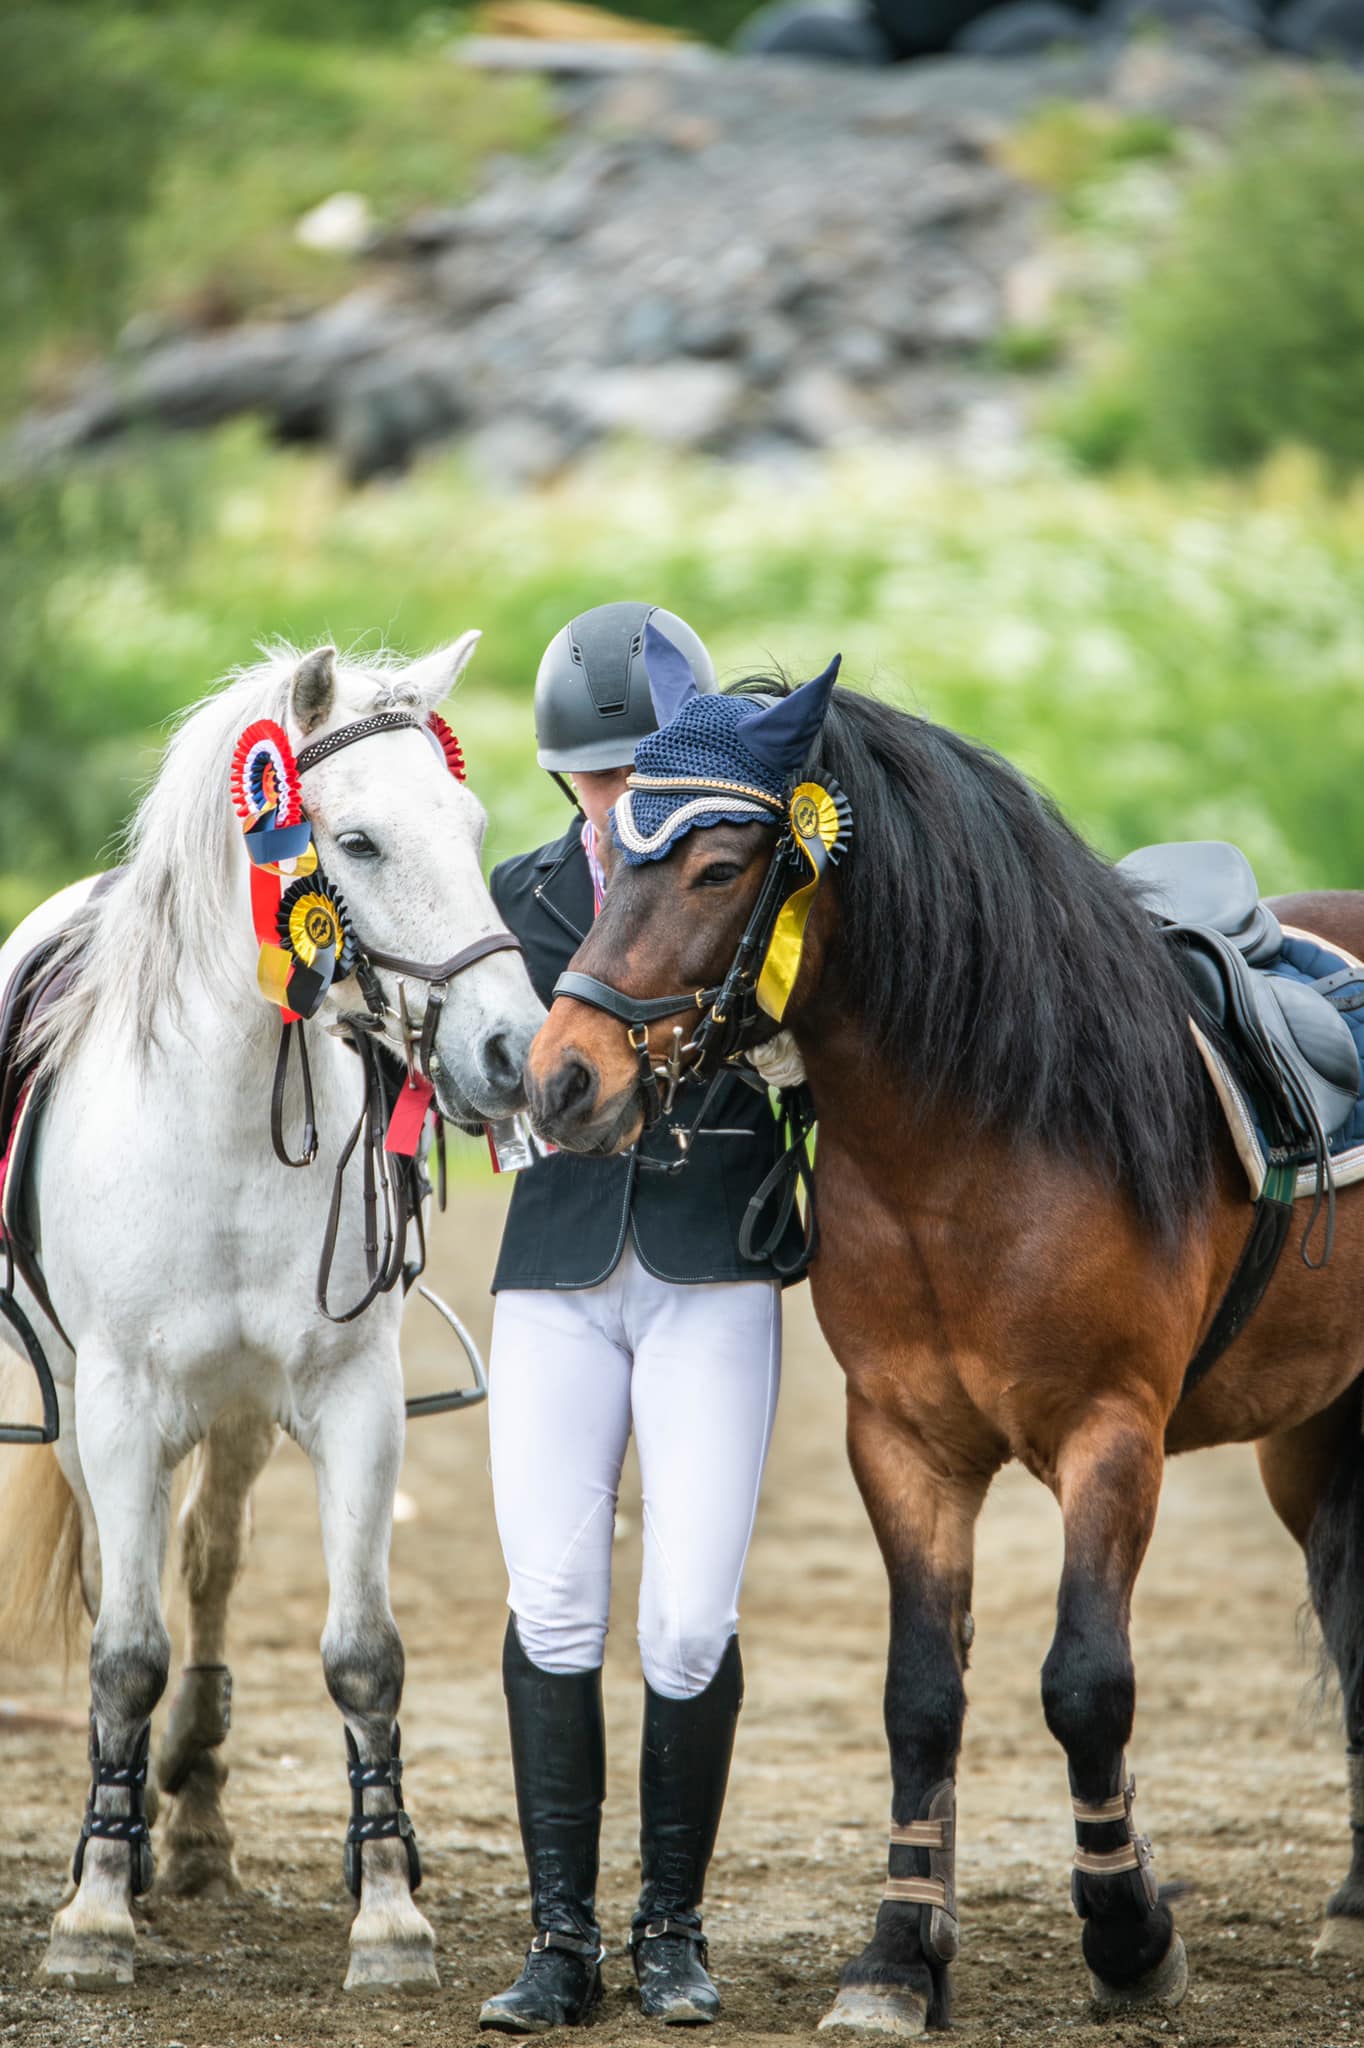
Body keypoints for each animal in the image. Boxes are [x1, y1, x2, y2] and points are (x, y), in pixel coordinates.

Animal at [0, 638, 544, 1994]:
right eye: (354, 841)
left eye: (467, 824)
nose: (512, 1050)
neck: (232, 1109)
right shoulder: (119, 1405)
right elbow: (123, 1650)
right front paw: (97, 1905)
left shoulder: (352, 1399)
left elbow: (363, 1652)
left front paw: (390, 1906)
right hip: (85, 1417)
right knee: (127, 1581)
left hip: (241, 1412)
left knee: (209, 1562)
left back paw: (194, 1816)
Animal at [522, 650, 1364, 2035]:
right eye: (615, 843)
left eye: (715, 866)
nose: (559, 1079)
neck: (980, 1133)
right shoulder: (903, 1443)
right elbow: (919, 1697)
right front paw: (895, 1957)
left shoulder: (1111, 1436)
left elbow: (1084, 1682)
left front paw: (1129, 1936)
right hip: (1311, 1429)